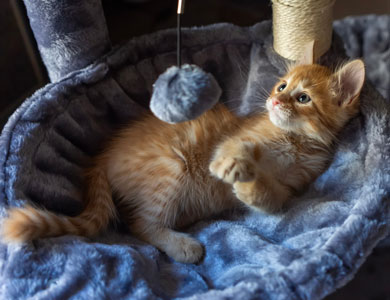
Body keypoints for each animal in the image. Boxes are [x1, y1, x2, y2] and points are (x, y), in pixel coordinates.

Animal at [1, 43, 364, 264]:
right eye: (282, 86)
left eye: (303, 98)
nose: (274, 101)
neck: (296, 142)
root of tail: (101, 158)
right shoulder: (239, 135)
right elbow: (234, 146)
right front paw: (233, 164)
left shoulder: (291, 186)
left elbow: (269, 198)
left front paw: (247, 186)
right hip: (172, 168)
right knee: (140, 224)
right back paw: (183, 245)